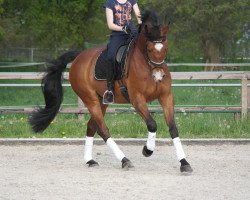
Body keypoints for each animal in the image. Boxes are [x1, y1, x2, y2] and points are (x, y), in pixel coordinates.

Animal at [29, 9, 193, 173]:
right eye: (149, 48)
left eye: (166, 48)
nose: (158, 75)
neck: (146, 64)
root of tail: (79, 56)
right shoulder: (137, 99)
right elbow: (152, 124)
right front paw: (147, 150)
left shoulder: (166, 97)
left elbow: (173, 128)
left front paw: (184, 163)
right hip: (90, 99)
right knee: (102, 129)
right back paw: (125, 160)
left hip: (102, 101)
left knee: (92, 126)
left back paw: (90, 160)